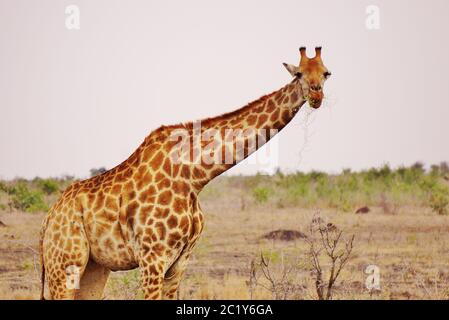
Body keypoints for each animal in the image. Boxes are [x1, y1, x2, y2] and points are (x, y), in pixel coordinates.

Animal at [41, 46, 328, 298]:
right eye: (298, 74)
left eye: (327, 73)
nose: (317, 97)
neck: (193, 176)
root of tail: (47, 221)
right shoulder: (152, 258)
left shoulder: (179, 262)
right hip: (65, 264)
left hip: (95, 267)